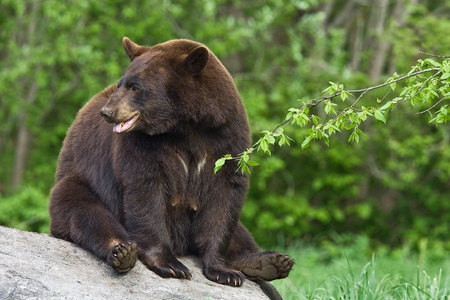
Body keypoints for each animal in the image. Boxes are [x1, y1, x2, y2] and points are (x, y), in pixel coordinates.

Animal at [50, 36, 296, 290]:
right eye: (121, 84)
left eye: (135, 87)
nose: (107, 112)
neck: (186, 126)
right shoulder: (142, 145)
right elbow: (145, 192)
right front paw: (171, 265)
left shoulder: (226, 135)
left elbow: (225, 195)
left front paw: (224, 270)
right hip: (81, 180)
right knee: (86, 211)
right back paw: (122, 250)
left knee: (240, 233)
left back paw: (269, 262)